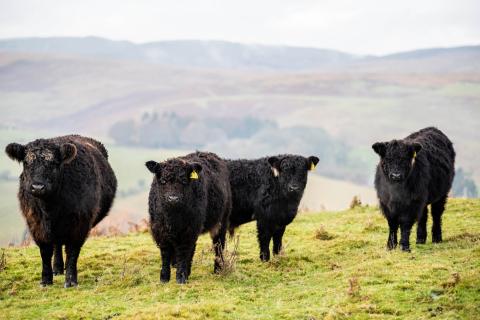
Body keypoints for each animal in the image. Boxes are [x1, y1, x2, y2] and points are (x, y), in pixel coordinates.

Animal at [5, 135, 116, 288]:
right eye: (26, 163)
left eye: (53, 163)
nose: (37, 187)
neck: (49, 208)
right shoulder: (35, 224)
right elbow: (45, 251)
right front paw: (46, 280)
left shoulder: (79, 224)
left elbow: (72, 251)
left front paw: (71, 280)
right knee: (57, 245)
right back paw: (57, 268)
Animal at [146, 151, 232, 284]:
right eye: (163, 181)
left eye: (184, 181)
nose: (173, 198)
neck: (173, 218)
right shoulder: (159, 229)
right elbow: (165, 252)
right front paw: (164, 277)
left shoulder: (189, 229)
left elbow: (183, 251)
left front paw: (181, 277)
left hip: (221, 221)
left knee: (218, 244)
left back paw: (218, 269)